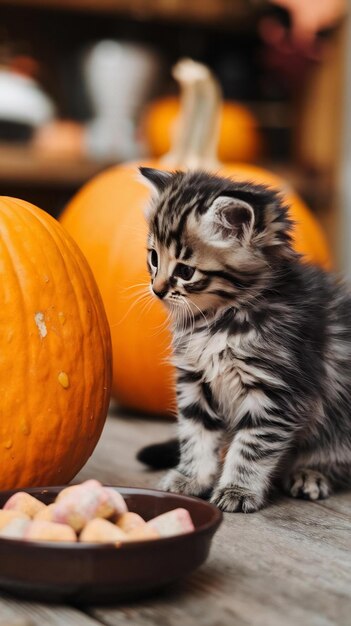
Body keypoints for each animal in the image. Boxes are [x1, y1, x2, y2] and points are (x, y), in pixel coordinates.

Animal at [138, 167, 351, 512]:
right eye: (154, 258)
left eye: (185, 271)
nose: (156, 290)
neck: (219, 321)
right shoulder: (195, 381)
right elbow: (196, 434)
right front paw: (192, 478)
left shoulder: (276, 390)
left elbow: (252, 447)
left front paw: (238, 489)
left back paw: (310, 473)